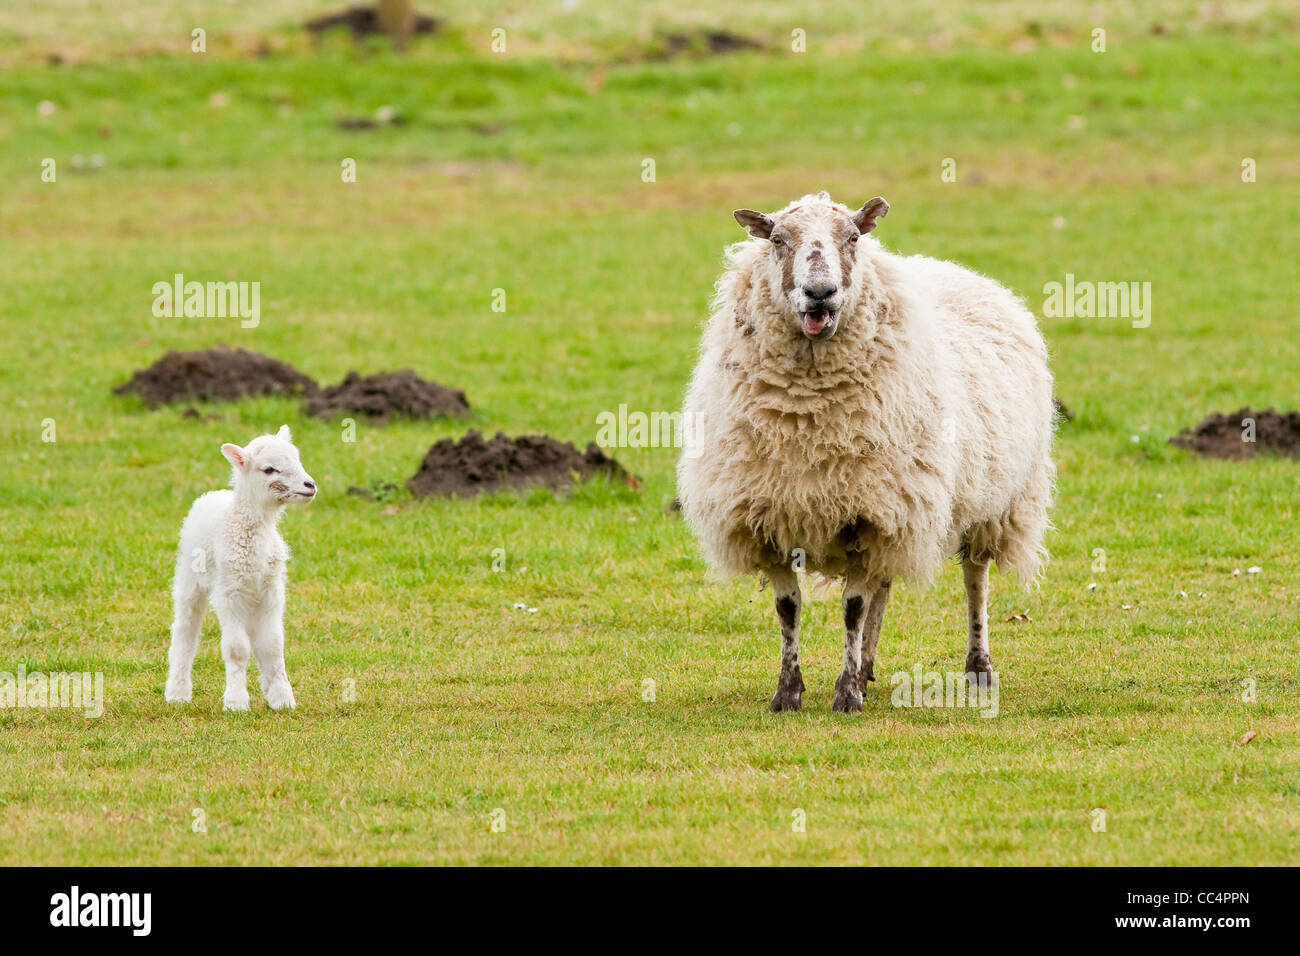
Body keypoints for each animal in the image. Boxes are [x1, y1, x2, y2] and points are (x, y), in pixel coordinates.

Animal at [163, 426, 315, 712]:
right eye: (269, 469)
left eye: (298, 460)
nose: (309, 486)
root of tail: (214, 495)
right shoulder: (229, 592)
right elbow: (237, 648)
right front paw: (236, 702)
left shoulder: (272, 589)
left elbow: (272, 645)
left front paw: (282, 697)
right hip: (190, 578)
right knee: (186, 630)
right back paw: (177, 691)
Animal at [681, 192, 1055, 712]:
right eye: (776, 240)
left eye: (853, 237)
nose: (820, 292)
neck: (808, 417)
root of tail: (957, 270)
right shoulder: (771, 517)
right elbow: (789, 608)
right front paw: (789, 692)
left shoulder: (870, 513)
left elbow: (852, 610)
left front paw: (846, 696)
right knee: (885, 583)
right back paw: (869, 666)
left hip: (993, 504)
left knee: (974, 580)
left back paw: (977, 668)